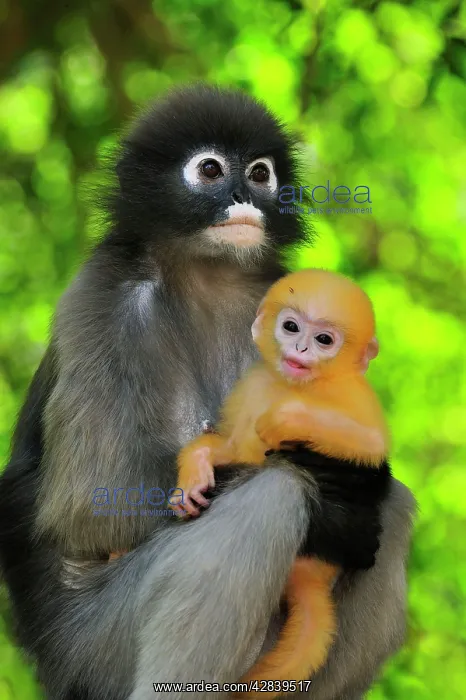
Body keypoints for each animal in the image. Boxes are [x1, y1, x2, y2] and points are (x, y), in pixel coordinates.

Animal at [172, 268, 392, 694]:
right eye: (291, 327)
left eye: (324, 340)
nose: (301, 349)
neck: (296, 386)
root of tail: (313, 579)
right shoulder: (251, 387)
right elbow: (230, 446)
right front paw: (194, 471)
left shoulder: (354, 395)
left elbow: (370, 444)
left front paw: (286, 417)